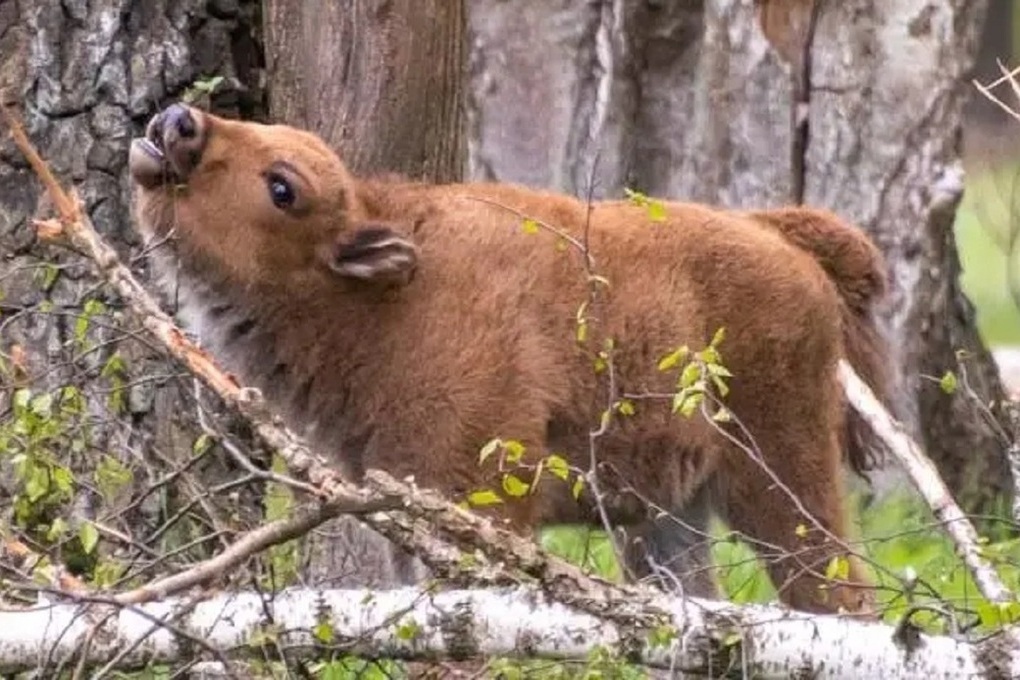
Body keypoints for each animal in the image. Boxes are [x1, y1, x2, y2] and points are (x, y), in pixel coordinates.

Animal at [127, 103, 889, 615]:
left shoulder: (478, 495)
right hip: (667, 517)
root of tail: (781, 239)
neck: (390, 299)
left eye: (282, 188)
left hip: (780, 478)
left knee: (839, 594)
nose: (178, 122)